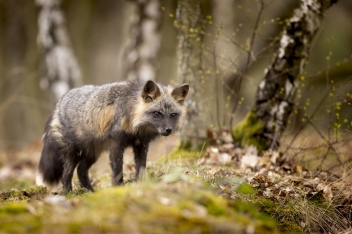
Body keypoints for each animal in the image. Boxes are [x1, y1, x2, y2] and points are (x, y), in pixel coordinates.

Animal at [36, 79, 190, 193]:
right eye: (157, 113)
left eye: (173, 115)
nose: (168, 130)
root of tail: (58, 104)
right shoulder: (116, 144)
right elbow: (117, 170)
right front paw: (118, 188)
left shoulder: (141, 144)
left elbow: (141, 167)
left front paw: (141, 184)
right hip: (74, 153)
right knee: (66, 174)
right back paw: (69, 194)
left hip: (92, 154)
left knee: (81, 171)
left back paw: (91, 193)